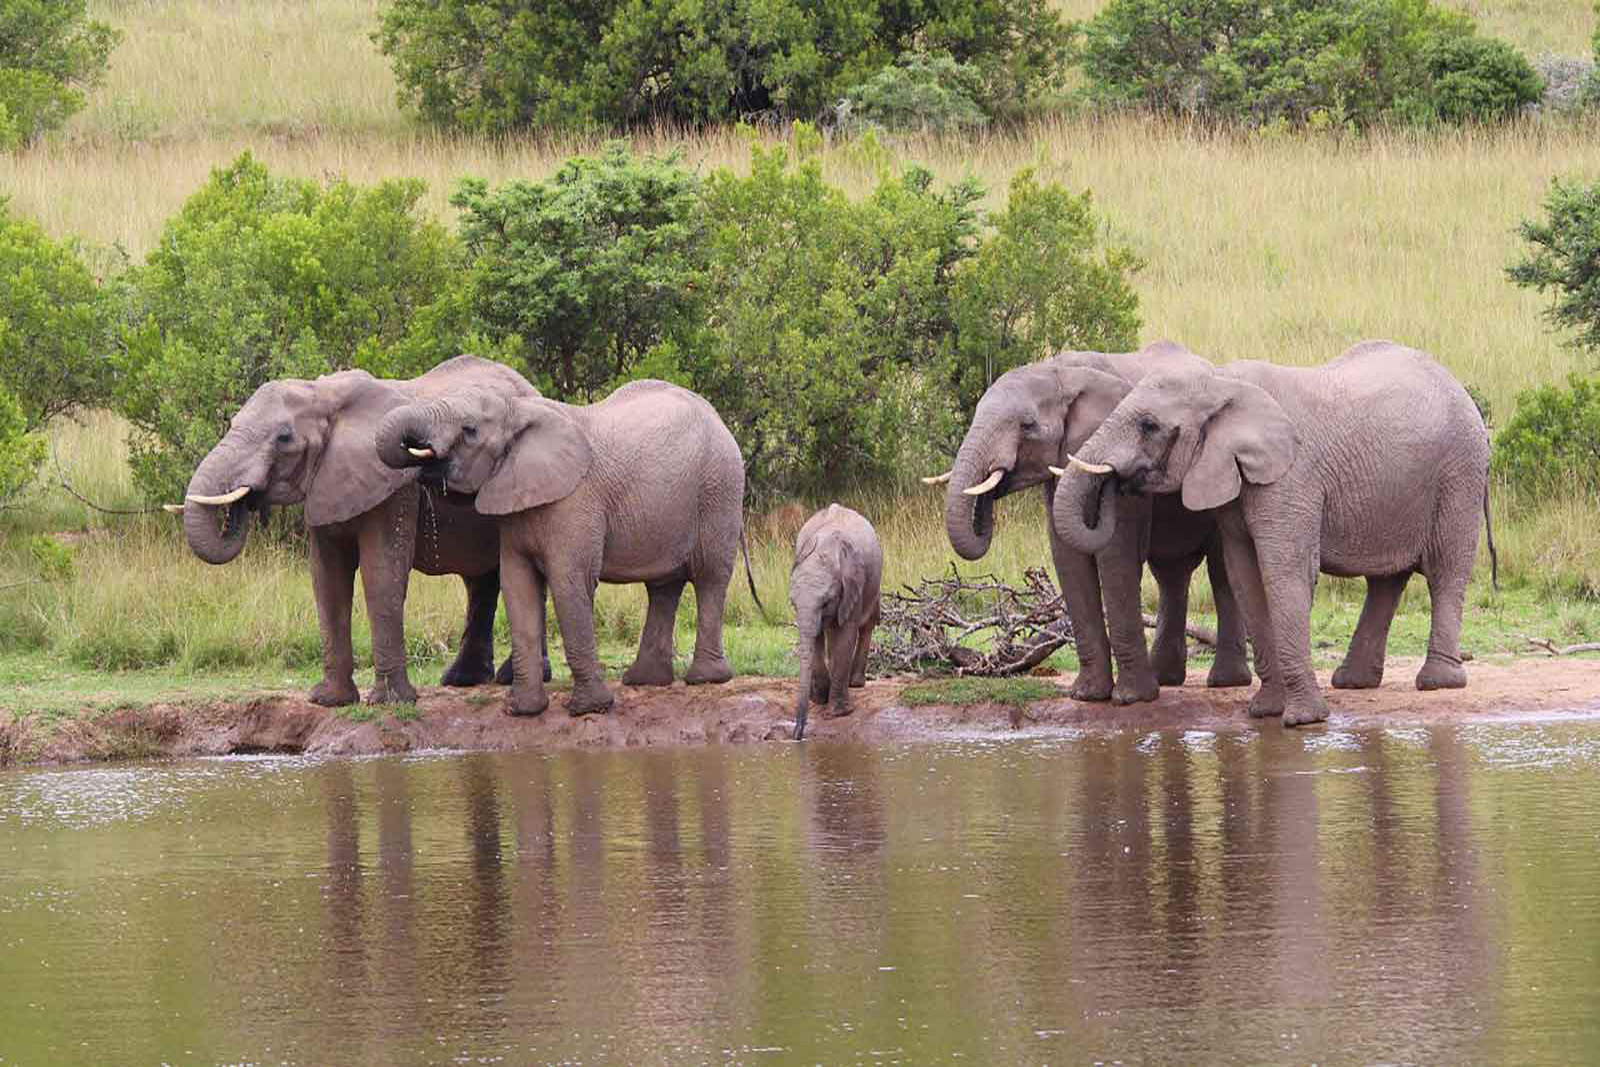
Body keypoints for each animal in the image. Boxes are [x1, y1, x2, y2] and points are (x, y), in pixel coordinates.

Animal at [171, 355, 549, 706]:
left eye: (284, 437)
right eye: (233, 423)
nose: (246, 502)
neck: (322, 393)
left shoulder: (394, 487)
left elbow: (380, 572)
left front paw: (389, 702)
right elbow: (327, 578)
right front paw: (329, 700)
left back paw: (513, 678)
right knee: (480, 580)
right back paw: (462, 680)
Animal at [374, 378, 749, 718]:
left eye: (470, 430)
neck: (517, 410)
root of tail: (716, 417)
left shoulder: (574, 503)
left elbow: (569, 583)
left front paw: (587, 709)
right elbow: (517, 585)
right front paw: (522, 711)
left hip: (720, 490)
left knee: (710, 576)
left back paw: (705, 679)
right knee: (663, 586)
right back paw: (645, 680)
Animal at [790, 504, 883, 740]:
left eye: (825, 602)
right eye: (792, 603)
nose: (797, 734)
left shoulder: (853, 586)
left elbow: (845, 635)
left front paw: (838, 712)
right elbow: (816, 637)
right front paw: (819, 699)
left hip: (873, 584)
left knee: (867, 623)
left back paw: (856, 683)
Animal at [933, 341, 1252, 705]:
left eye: (1027, 425)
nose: (994, 479)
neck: (1058, 370)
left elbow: (1116, 556)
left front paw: (1130, 699)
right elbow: (1067, 559)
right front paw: (1087, 695)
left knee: (1221, 570)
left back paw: (1225, 681)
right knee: (1172, 574)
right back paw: (1167, 678)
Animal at [1051, 340, 1492, 727]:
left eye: (1149, 425)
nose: (1118, 484)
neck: (1221, 382)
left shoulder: (1292, 476)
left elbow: (1285, 572)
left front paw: (1302, 721)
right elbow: (1245, 577)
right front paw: (1265, 712)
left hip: (1460, 472)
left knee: (1446, 569)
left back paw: (1437, 682)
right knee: (1386, 580)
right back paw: (1354, 681)